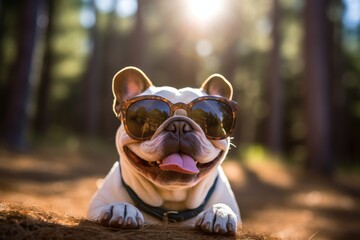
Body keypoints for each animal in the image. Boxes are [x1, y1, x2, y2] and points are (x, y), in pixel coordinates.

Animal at [86, 66, 242, 234]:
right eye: (142, 119)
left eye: (210, 121)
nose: (179, 125)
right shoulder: (96, 205)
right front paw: (121, 207)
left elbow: (223, 207)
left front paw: (219, 212)